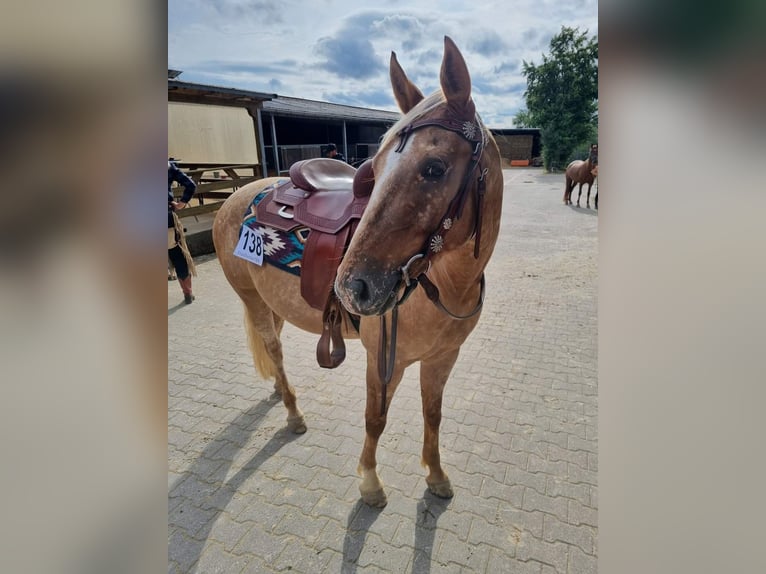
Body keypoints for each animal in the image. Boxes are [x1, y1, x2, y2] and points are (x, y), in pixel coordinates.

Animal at [213, 37, 508, 508]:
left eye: (434, 167)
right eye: (376, 167)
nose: (353, 288)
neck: (443, 287)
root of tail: (237, 196)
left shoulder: (444, 357)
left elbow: (433, 414)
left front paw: (436, 474)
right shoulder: (383, 360)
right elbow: (376, 419)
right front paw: (370, 481)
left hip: (271, 302)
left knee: (274, 347)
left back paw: (279, 390)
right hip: (252, 299)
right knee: (273, 348)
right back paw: (292, 411)